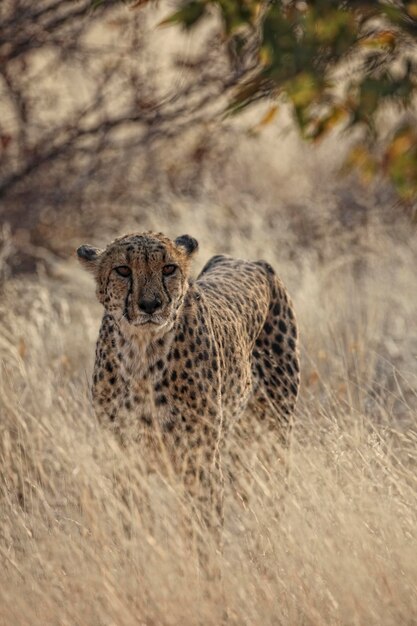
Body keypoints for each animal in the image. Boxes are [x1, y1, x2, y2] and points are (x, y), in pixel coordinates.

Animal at [77, 234, 300, 528]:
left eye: (168, 268)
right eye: (123, 270)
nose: (150, 304)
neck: (142, 353)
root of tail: (248, 261)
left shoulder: (200, 461)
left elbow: (202, 527)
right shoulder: (126, 458)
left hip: (274, 426)